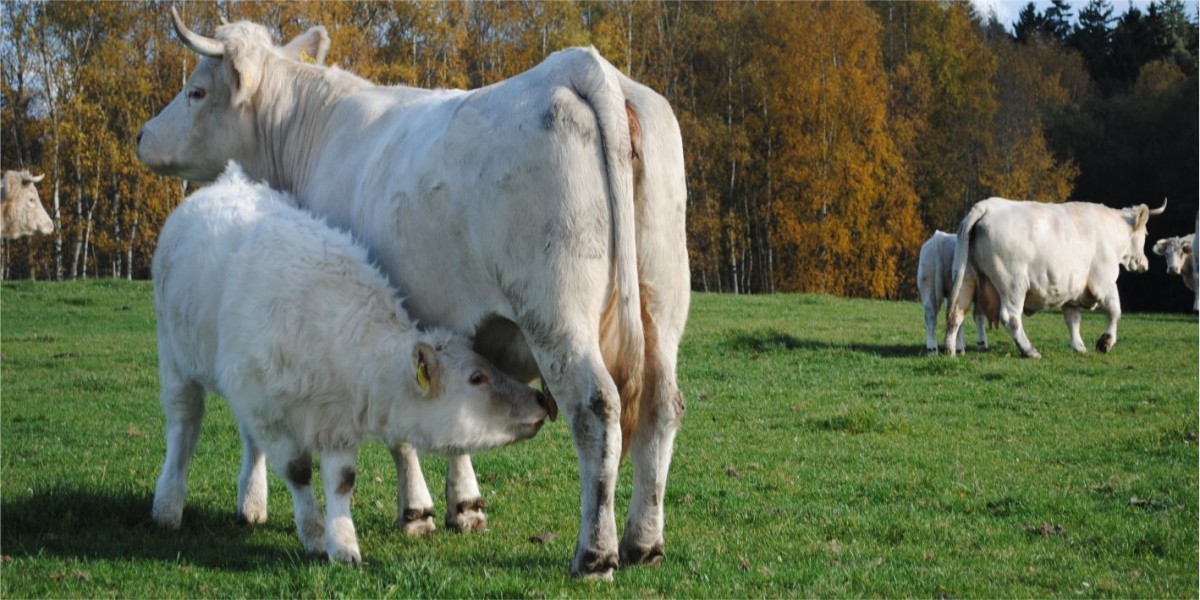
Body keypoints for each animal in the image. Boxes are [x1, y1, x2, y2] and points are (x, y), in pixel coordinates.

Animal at [148, 164, 552, 561]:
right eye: (477, 377)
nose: (539, 399)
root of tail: (229, 179)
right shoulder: (271, 412)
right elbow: (298, 472)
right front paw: (313, 533)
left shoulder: (334, 422)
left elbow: (342, 481)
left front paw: (342, 544)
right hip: (174, 355)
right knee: (183, 428)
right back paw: (167, 507)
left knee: (248, 440)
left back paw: (251, 503)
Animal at [945, 196, 1161, 357]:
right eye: (1146, 233)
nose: (1145, 263)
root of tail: (986, 206)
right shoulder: (1104, 282)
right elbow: (1115, 311)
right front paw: (1105, 342)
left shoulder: (1073, 290)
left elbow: (1073, 319)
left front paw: (1079, 346)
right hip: (1013, 284)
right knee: (1011, 317)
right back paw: (1030, 351)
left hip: (966, 278)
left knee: (956, 312)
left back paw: (950, 350)